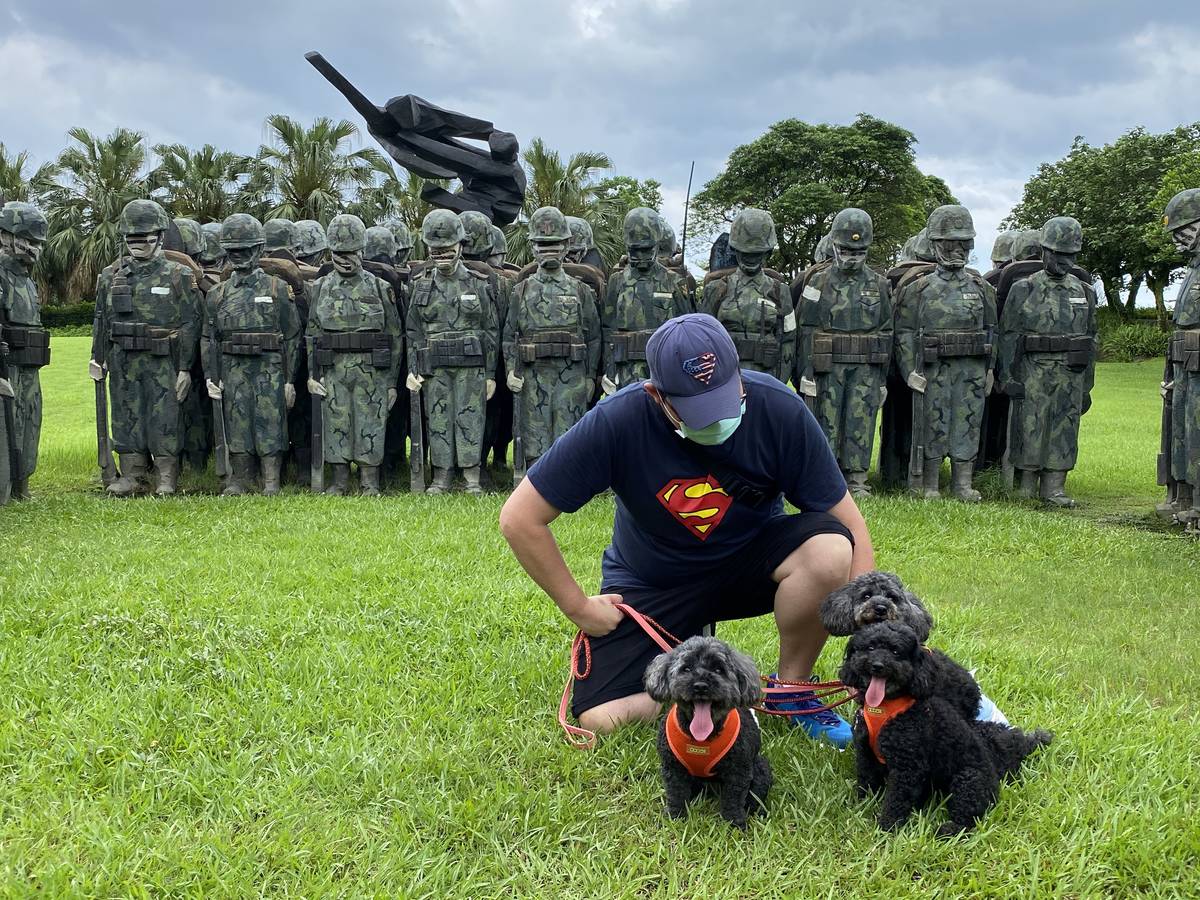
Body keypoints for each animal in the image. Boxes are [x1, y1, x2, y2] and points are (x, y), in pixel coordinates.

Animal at [643, 638, 772, 830]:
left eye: (718, 669)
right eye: (686, 668)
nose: (700, 686)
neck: (701, 739)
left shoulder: (739, 771)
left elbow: (734, 799)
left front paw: (734, 823)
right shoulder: (673, 767)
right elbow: (675, 793)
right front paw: (675, 817)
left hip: (760, 768)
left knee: (754, 796)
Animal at [835, 619, 1051, 840]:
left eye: (896, 651)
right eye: (869, 647)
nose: (877, 666)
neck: (884, 708)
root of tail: (995, 781)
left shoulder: (907, 767)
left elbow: (895, 800)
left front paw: (886, 828)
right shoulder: (866, 754)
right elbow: (867, 781)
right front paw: (860, 806)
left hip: (968, 781)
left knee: (968, 820)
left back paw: (947, 830)